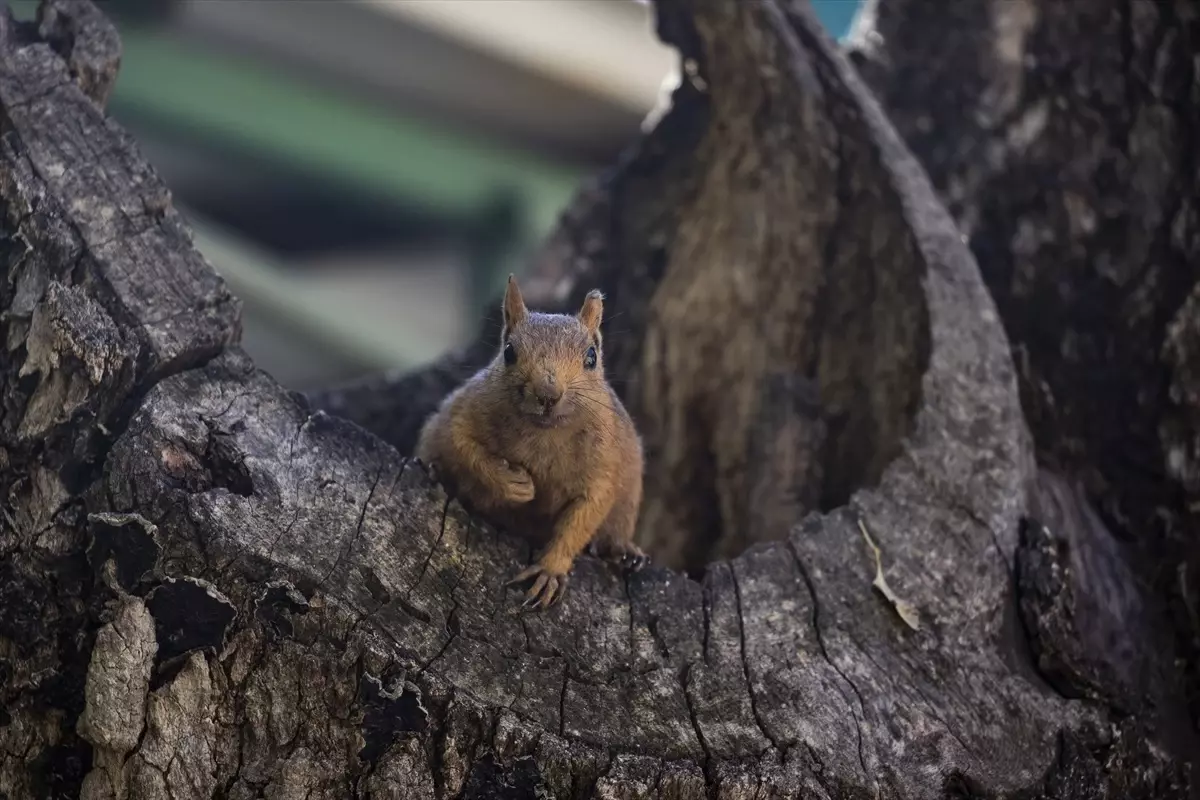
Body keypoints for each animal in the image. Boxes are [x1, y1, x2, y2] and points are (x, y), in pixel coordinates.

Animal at [412, 273, 648, 606]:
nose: (548, 394)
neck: (545, 432)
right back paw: (434, 471)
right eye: (509, 351)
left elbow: (583, 517)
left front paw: (550, 571)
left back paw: (623, 551)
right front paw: (513, 483)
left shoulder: (605, 464)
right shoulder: (463, 413)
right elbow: (462, 445)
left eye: (592, 356)